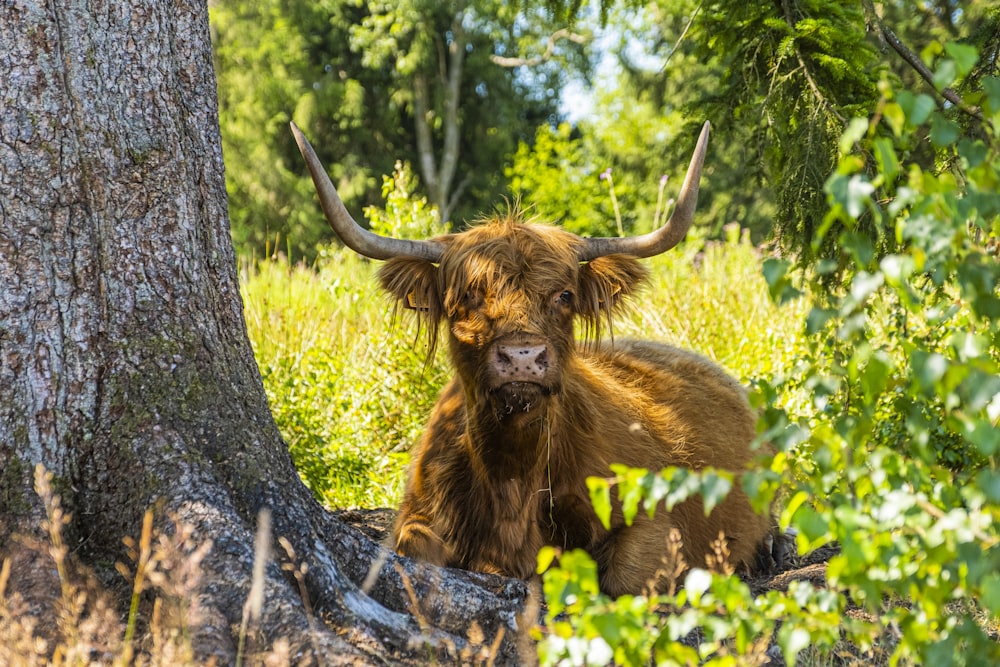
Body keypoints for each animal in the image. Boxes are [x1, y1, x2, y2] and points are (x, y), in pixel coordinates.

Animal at [290, 120, 772, 596]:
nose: (523, 356)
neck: (512, 480)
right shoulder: (419, 514)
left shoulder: (653, 519)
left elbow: (624, 575)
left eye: (564, 295)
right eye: (468, 296)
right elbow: (416, 549)